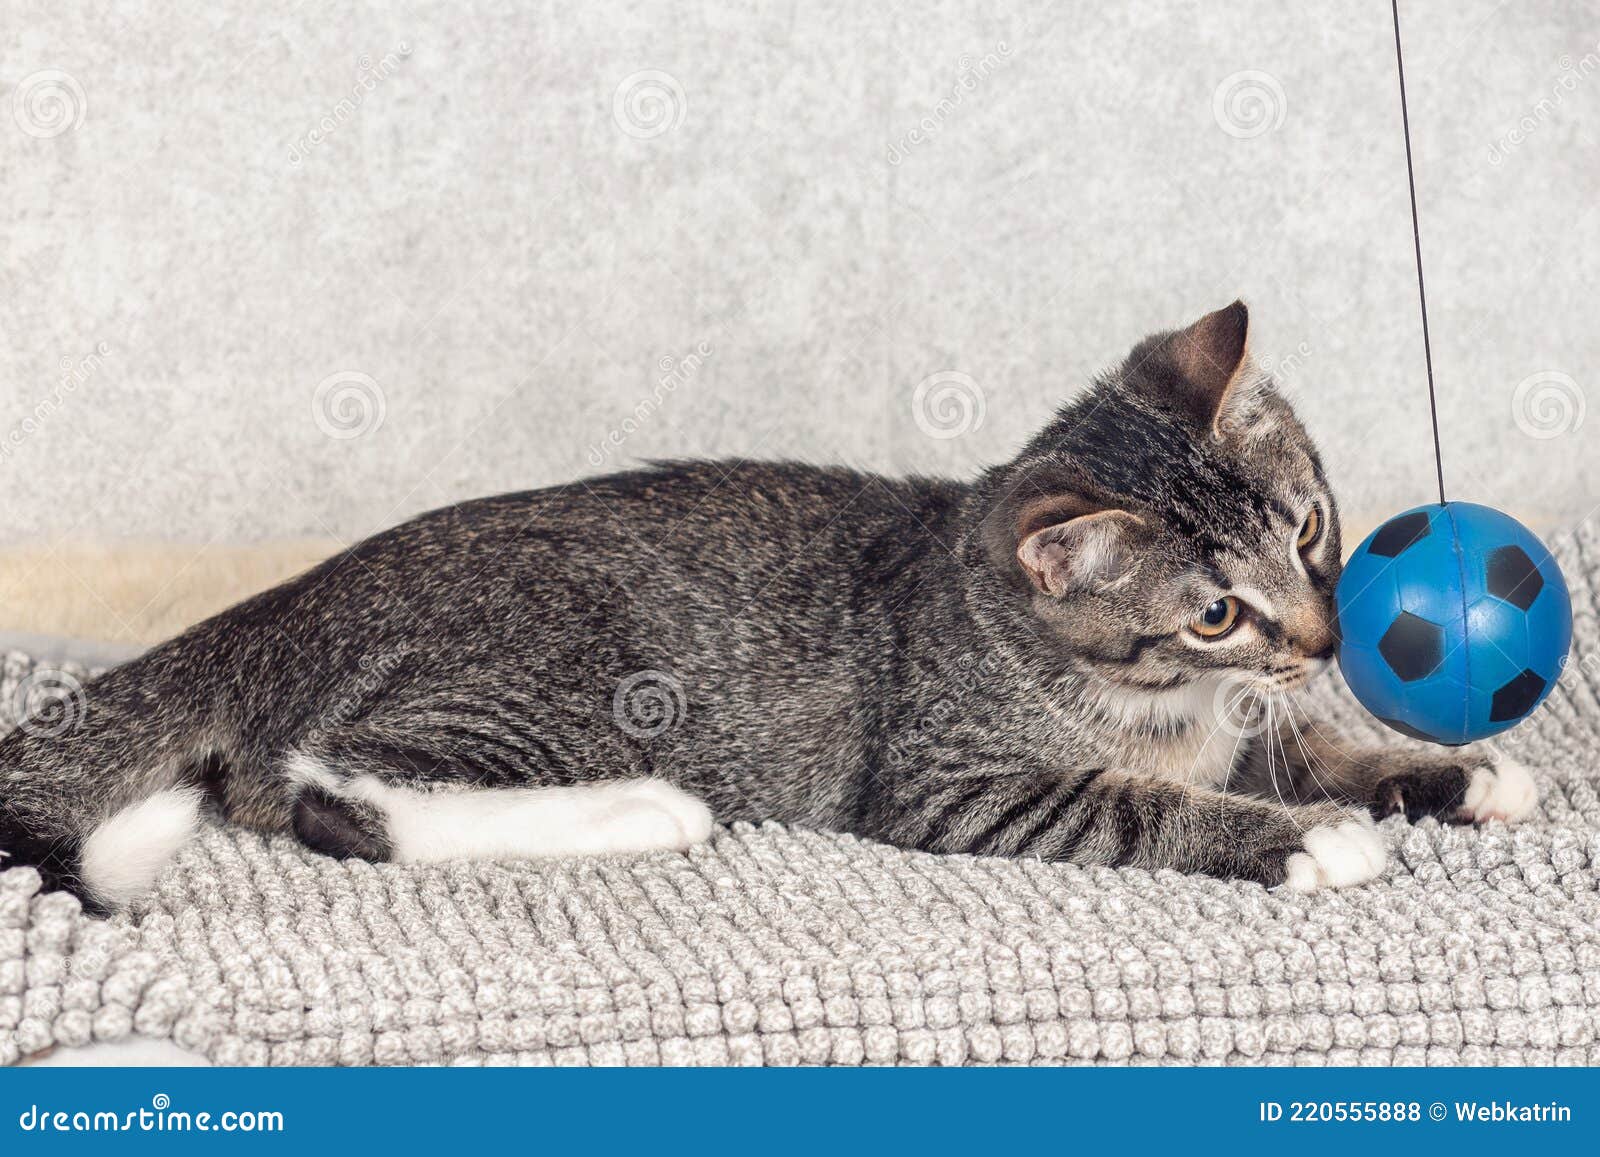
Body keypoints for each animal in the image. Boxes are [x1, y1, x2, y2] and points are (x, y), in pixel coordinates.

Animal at [0, 300, 1536, 915]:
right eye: (1213, 611)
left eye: (1308, 528)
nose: (1323, 635)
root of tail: (303, 595)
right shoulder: (951, 784)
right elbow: (1144, 803)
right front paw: (1301, 841)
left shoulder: (1249, 714)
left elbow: (1309, 745)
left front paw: (1446, 772)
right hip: (556, 675)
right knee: (336, 789)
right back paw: (646, 812)